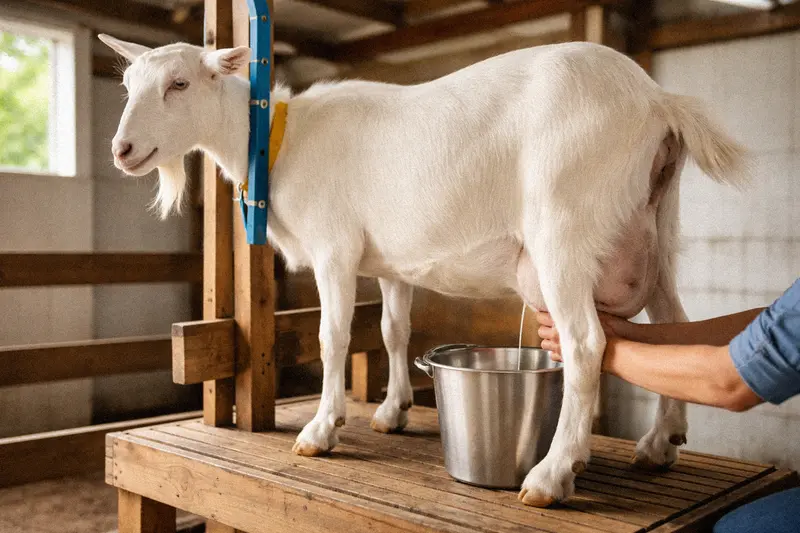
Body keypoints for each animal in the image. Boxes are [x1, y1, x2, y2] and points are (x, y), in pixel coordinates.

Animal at [99, 34, 746, 507]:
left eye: (179, 83)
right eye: (128, 85)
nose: (122, 151)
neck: (279, 141)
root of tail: (658, 102)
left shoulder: (334, 248)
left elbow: (332, 337)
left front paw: (321, 430)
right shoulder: (389, 263)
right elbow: (393, 331)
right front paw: (392, 412)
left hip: (565, 225)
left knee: (586, 343)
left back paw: (551, 475)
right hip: (655, 229)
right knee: (671, 323)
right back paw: (660, 443)